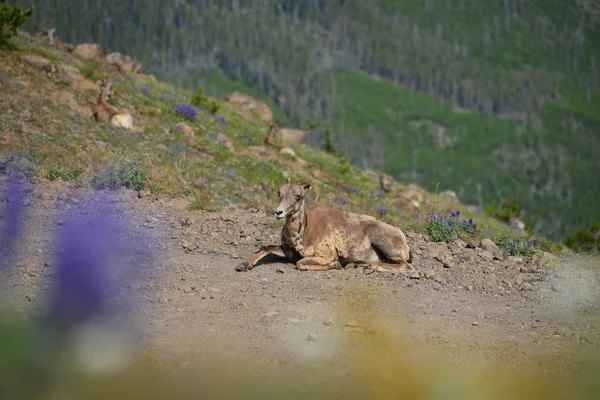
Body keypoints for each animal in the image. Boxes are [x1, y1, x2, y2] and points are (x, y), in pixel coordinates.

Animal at [237, 180, 414, 274]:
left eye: (298, 196)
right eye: (280, 193)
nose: (278, 212)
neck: (303, 235)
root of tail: (402, 239)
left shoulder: (325, 255)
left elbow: (300, 264)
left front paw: (335, 265)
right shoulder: (286, 251)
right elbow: (267, 249)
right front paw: (244, 265)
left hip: (382, 241)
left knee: (406, 266)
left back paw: (368, 267)